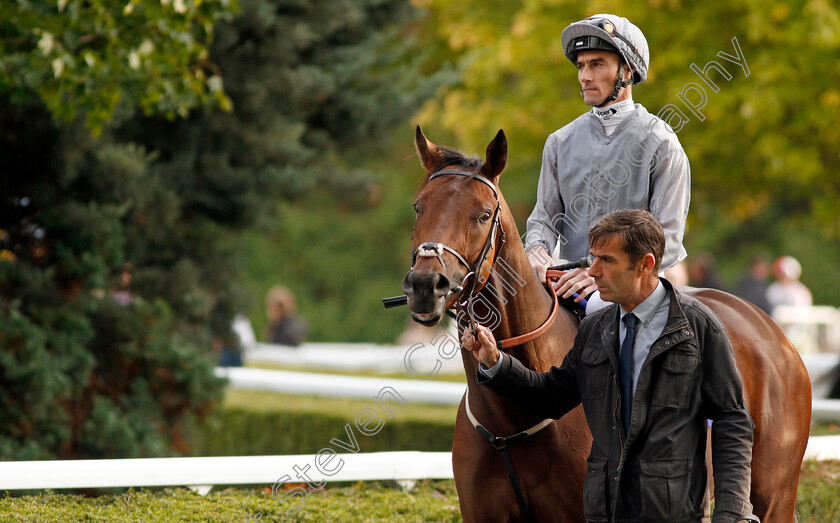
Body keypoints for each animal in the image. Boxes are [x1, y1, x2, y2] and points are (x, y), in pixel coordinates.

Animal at [404, 128, 812, 523]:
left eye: (484, 214)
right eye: (418, 206)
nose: (425, 285)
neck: (510, 420)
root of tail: (774, 334)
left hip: (774, 497)